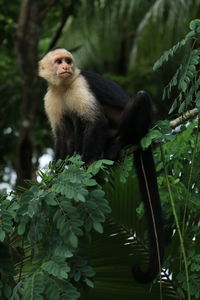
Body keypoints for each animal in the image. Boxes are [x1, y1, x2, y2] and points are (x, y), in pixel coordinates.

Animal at [38, 47, 164, 284]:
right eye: (58, 62)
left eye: (68, 61)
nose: (66, 67)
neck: (64, 86)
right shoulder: (50, 97)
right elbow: (64, 135)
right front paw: (53, 179)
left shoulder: (79, 84)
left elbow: (95, 121)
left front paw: (87, 164)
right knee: (78, 123)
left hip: (138, 126)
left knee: (140, 98)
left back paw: (119, 144)